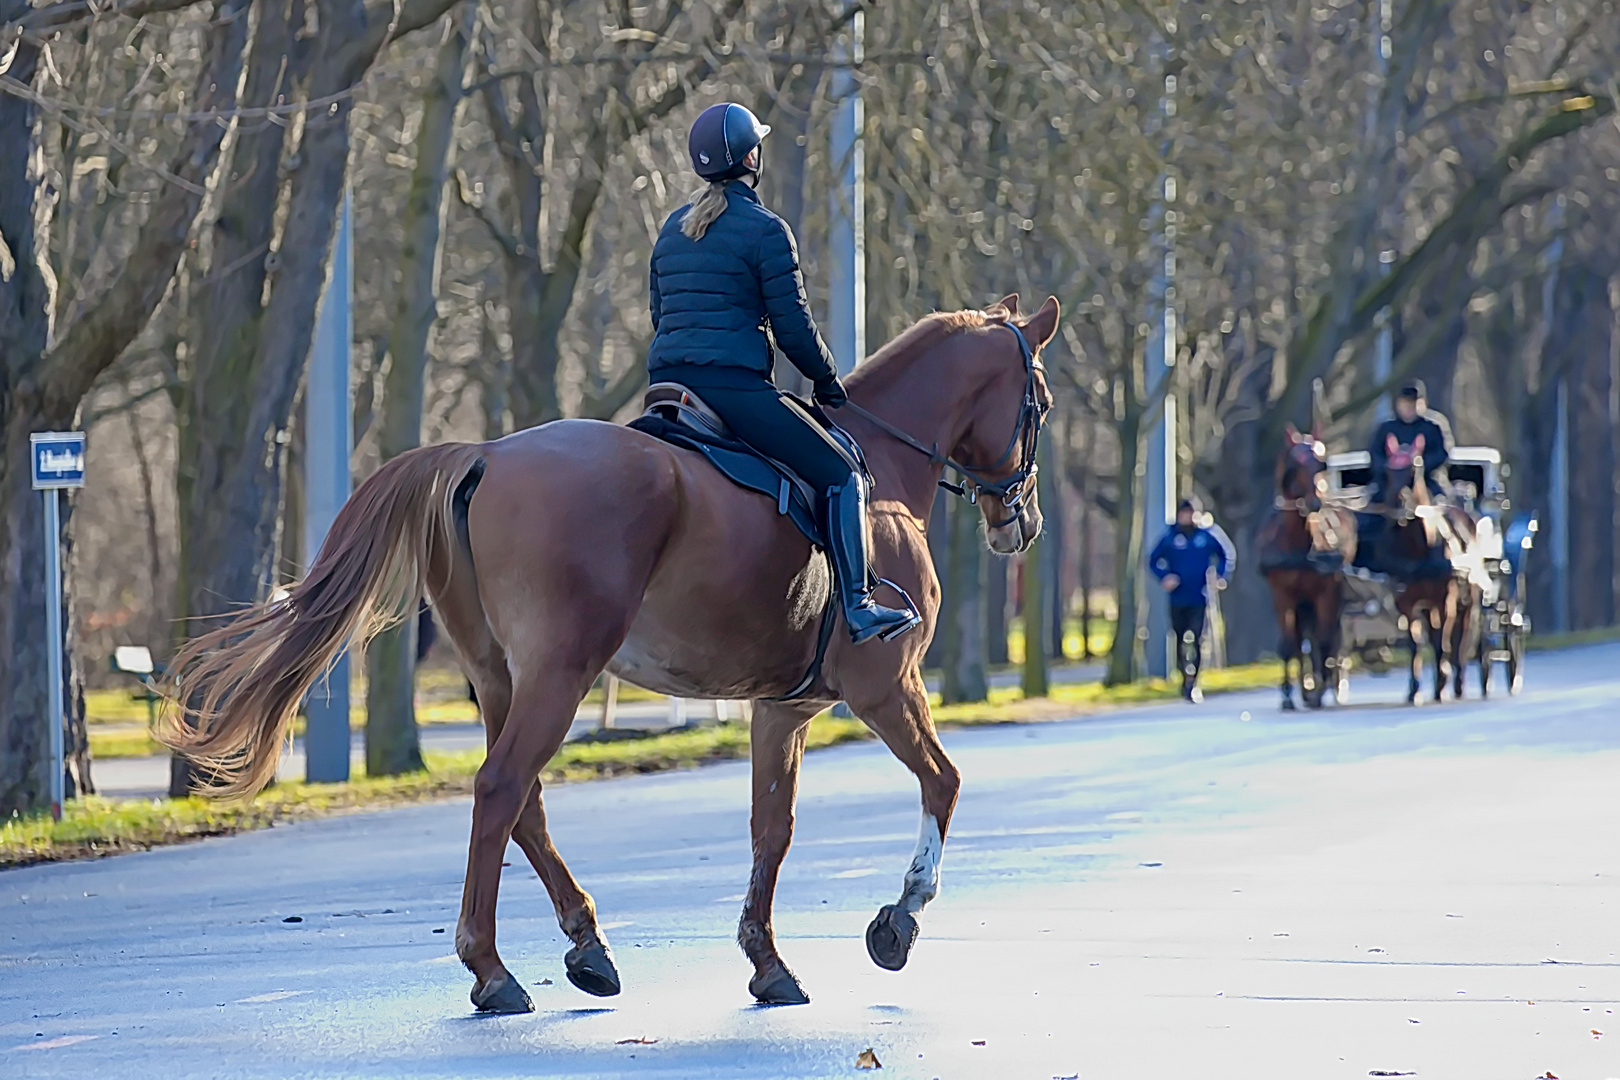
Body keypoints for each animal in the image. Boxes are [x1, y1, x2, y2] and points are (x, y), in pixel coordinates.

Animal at [154, 293, 1062, 1016]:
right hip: (561, 672)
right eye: (1041, 402)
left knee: (523, 803)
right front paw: (899, 918)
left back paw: (586, 945)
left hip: (500, 679)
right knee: (502, 789)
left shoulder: (784, 710)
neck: (881, 486)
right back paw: (492, 970)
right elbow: (943, 783)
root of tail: (486, 453)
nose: (1023, 522)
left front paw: (767, 961)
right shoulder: (888, 687)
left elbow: (771, 829)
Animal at [1257, 427, 1360, 712]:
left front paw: (1320, 687)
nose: (1317, 502)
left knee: (1327, 637)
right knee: (1304, 638)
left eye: (1322, 462)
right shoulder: (1281, 594)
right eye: (1297, 463)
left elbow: (1324, 641)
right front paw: (1288, 696)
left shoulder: (1326, 592)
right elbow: (1288, 644)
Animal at [1373, 433, 1477, 705]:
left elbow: (1443, 642)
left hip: (1467, 601)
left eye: (1414, 468)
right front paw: (1414, 689)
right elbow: (1416, 643)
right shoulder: (1406, 603)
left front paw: (1440, 684)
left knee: (1461, 636)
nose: (1398, 505)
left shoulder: (1445, 600)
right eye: (1387, 471)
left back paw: (1457, 680)